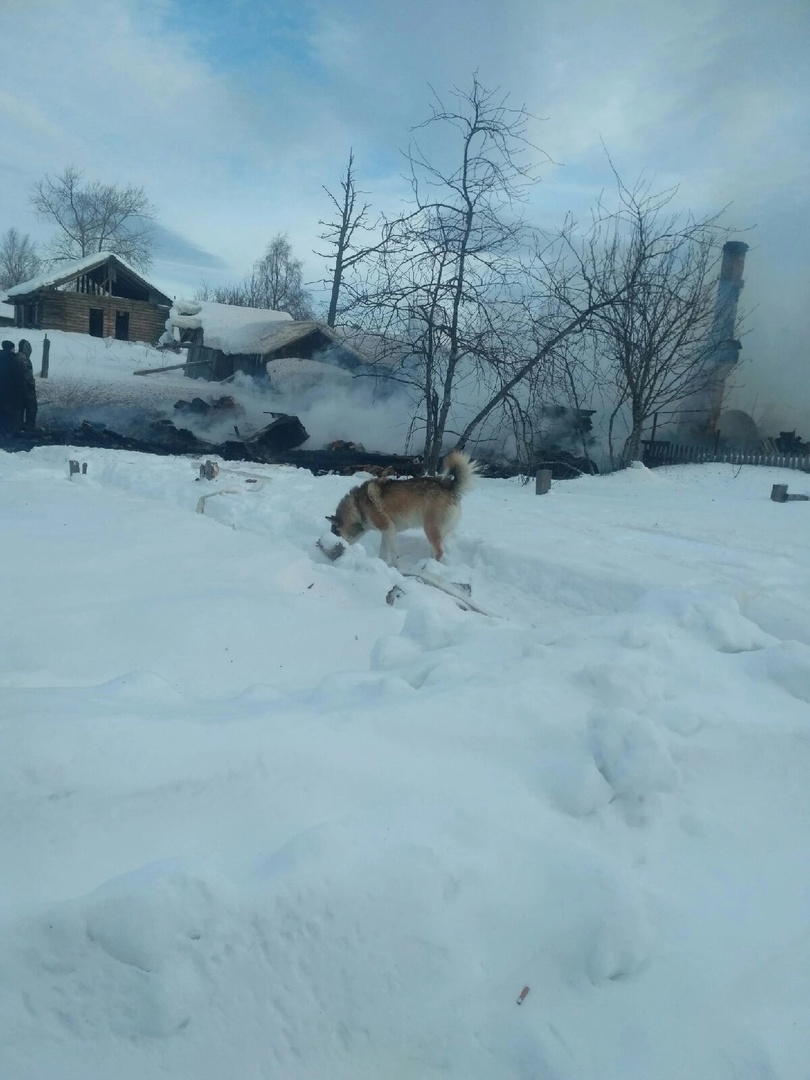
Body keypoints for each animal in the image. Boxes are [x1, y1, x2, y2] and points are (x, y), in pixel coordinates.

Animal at [326, 447, 479, 565]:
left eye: (336, 534)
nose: (332, 553)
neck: (358, 507)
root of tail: (450, 486)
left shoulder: (388, 528)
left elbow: (394, 553)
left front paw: (395, 567)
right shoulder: (386, 531)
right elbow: (383, 552)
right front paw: (382, 563)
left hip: (430, 528)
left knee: (439, 552)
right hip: (438, 532)